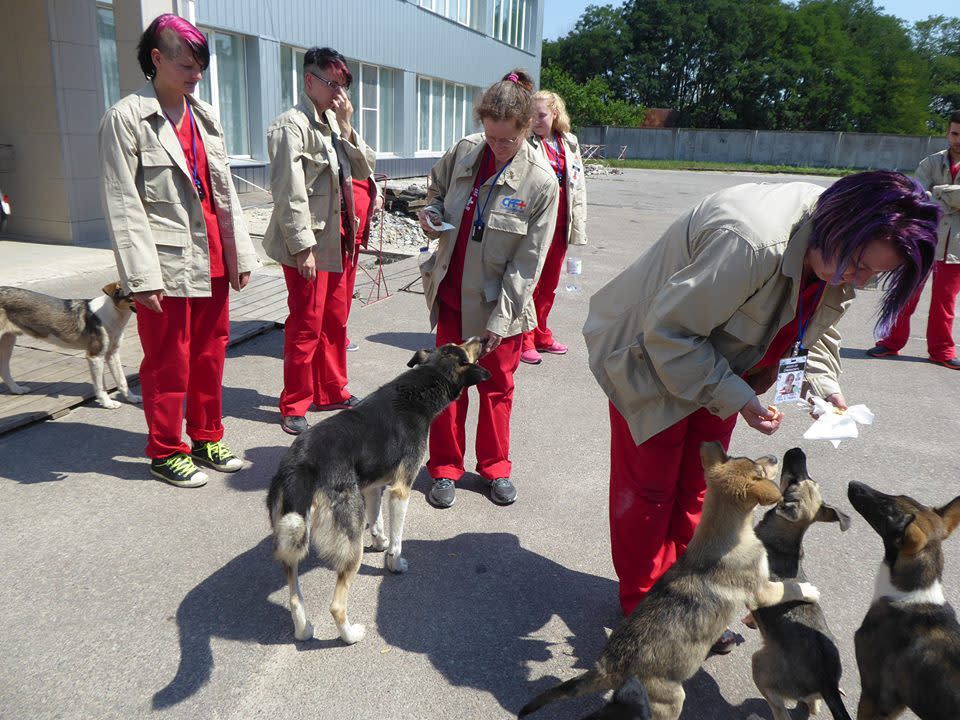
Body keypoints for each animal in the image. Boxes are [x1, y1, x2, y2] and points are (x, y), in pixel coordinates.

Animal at [0, 282, 141, 410]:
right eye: (131, 298)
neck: (113, 314)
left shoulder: (112, 354)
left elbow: (122, 380)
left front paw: (131, 398)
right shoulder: (95, 356)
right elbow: (101, 386)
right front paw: (107, 403)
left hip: (8, 341)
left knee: (4, 369)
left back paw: (17, 389)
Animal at [266, 338, 492, 648]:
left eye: (457, 343)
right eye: (465, 348)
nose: (482, 339)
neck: (418, 388)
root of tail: (300, 466)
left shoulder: (374, 487)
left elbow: (377, 522)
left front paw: (380, 542)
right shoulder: (401, 489)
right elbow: (398, 538)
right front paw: (394, 563)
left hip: (291, 542)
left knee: (294, 598)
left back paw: (304, 630)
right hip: (350, 543)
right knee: (336, 605)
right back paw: (350, 636)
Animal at [516, 444, 816, 720]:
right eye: (759, 470)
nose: (775, 457)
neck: (721, 535)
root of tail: (608, 665)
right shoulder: (762, 590)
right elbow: (789, 587)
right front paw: (810, 590)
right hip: (670, 700)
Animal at [748, 448, 852, 716]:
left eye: (793, 481)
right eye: (807, 479)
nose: (797, 450)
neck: (785, 541)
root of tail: (826, 684)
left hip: (759, 665)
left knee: (780, 710)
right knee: (812, 705)